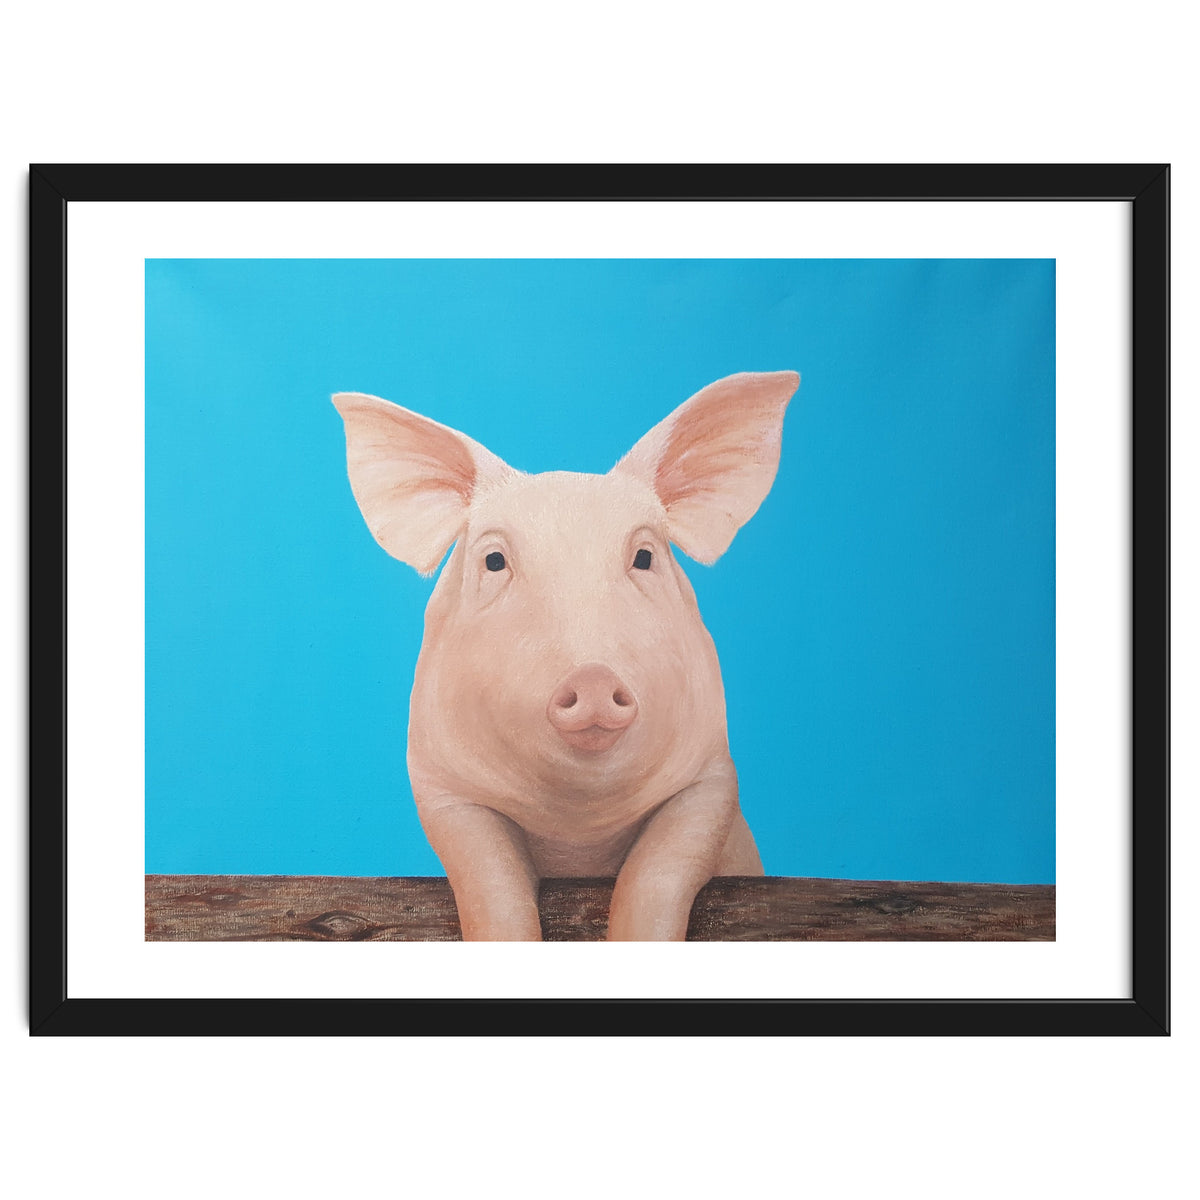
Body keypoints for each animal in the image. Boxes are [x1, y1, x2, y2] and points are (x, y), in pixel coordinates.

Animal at [333, 370, 799, 941]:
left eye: (644, 556)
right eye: (494, 560)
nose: (593, 677)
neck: (578, 828)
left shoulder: (711, 778)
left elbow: (658, 873)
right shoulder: (442, 788)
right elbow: (490, 882)